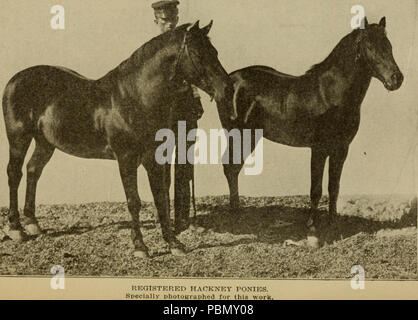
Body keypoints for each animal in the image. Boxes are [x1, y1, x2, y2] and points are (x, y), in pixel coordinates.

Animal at [1, 21, 237, 258]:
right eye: (198, 54)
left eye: (215, 52)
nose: (228, 89)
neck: (135, 97)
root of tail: (16, 79)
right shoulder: (126, 159)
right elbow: (134, 201)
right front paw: (140, 246)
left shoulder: (153, 159)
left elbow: (161, 198)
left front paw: (173, 243)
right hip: (18, 138)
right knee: (15, 173)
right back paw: (16, 228)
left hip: (45, 142)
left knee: (33, 170)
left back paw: (32, 223)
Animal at [217, 16, 404, 228]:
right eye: (370, 47)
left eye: (389, 45)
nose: (397, 79)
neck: (330, 93)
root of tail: (229, 79)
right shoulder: (319, 148)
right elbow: (316, 189)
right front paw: (312, 223)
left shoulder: (341, 149)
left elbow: (334, 187)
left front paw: (333, 222)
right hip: (238, 135)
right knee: (230, 168)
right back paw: (235, 213)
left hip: (249, 136)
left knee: (234, 168)